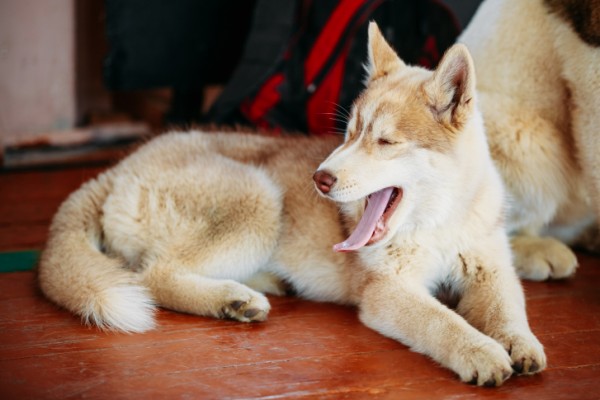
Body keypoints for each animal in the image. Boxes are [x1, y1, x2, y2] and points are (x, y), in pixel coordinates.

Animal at [36, 23, 544, 386]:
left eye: (384, 141)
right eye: (348, 133)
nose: (320, 178)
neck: (438, 221)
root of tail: (115, 168)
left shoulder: (491, 268)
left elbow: (509, 310)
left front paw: (521, 345)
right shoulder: (387, 291)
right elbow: (443, 321)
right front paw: (480, 351)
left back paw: (254, 288)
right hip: (259, 196)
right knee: (153, 274)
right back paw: (231, 299)